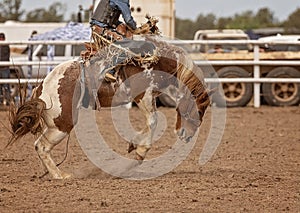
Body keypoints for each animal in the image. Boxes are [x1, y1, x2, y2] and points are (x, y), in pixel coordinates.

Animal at [8, 37, 212, 178]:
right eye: (197, 110)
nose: (188, 136)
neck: (157, 62)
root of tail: (41, 90)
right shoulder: (143, 96)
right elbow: (153, 121)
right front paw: (140, 153)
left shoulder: (149, 98)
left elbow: (151, 123)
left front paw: (134, 144)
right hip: (63, 123)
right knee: (41, 146)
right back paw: (61, 175)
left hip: (56, 124)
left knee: (38, 145)